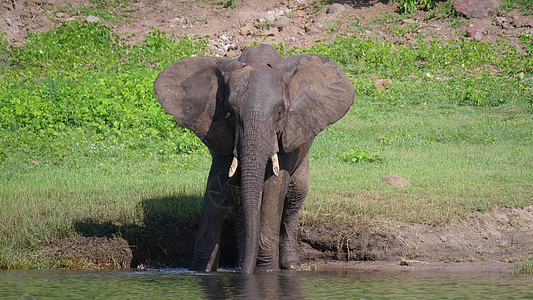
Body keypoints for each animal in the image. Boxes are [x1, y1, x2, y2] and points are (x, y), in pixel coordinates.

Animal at [153, 44, 354, 274]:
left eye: (280, 113)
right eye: (230, 113)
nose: (244, 273)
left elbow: (274, 187)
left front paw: (267, 270)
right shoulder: (221, 133)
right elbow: (218, 185)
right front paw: (201, 270)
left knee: (294, 199)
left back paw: (291, 265)